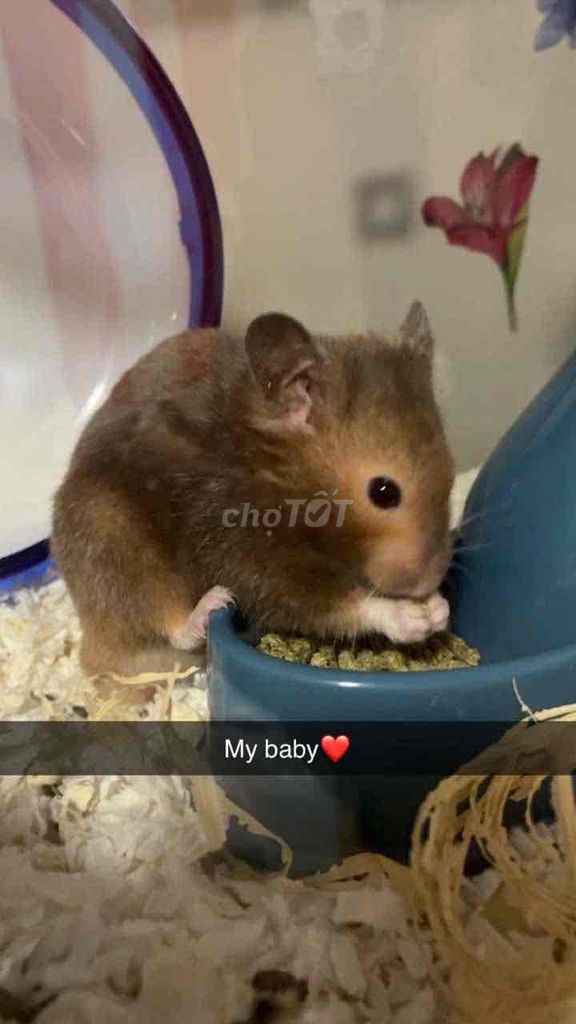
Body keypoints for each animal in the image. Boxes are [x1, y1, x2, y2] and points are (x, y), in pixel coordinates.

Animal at [51, 302, 454, 677]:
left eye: (451, 472)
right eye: (384, 492)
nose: (427, 582)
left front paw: (438, 608)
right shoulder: (242, 545)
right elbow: (323, 603)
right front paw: (414, 617)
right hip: (114, 545)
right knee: (169, 624)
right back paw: (210, 605)